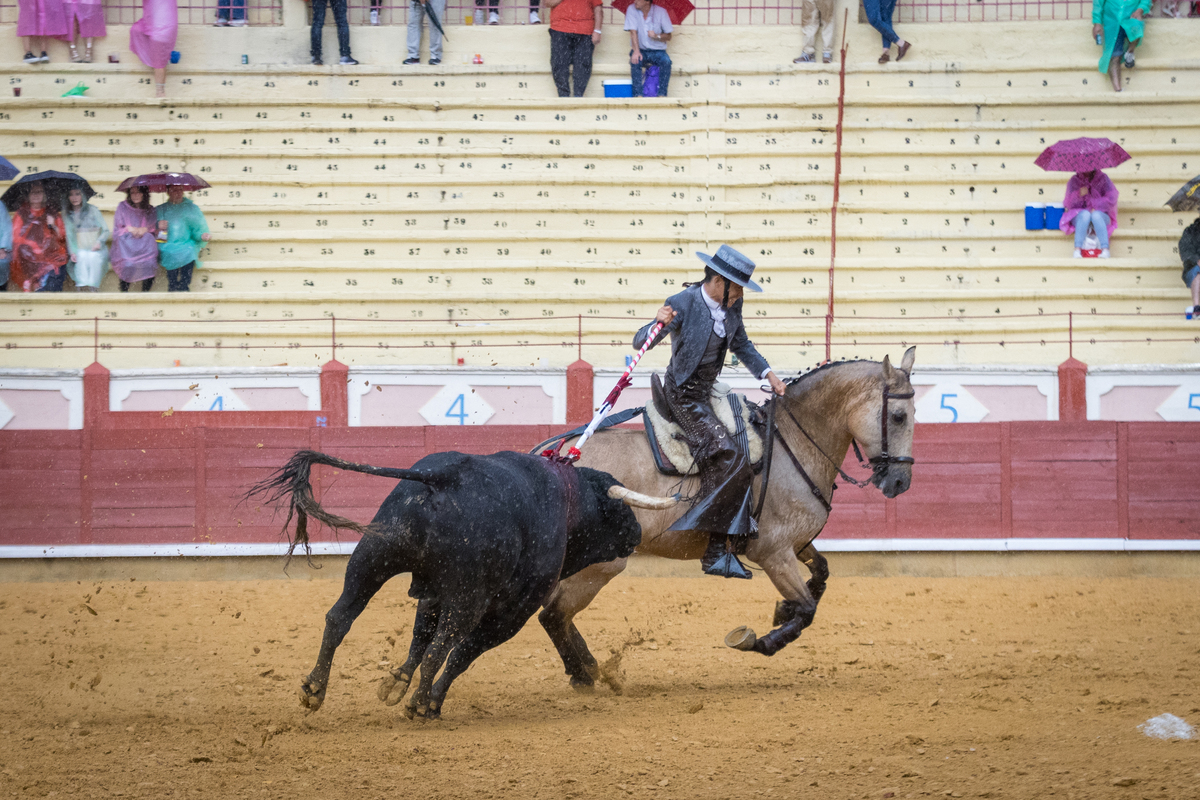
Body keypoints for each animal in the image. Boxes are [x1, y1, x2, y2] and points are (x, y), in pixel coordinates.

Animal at [248, 450, 643, 719]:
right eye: (620, 510)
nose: (638, 532)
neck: (568, 502)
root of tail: (443, 478)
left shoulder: (435, 592)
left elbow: (420, 637)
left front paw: (396, 682)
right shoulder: (512, 612)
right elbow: (460, 652)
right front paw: (430, 700)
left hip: (372, 558)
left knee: (339, 617)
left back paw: (314, 688)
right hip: (468, 597)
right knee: (443, 646)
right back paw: (421, 706)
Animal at [542, 347, 916, 690]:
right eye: (899, 416)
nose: (901, 482)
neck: (792, 443)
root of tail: (559, 459)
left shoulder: (795, 543)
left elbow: (822, 573)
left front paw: (783, 609)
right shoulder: (772, 552)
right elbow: (808, 609)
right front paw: (762, 640)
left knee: (553, 610)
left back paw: (588, 670)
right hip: (603, 564)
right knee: (554, 613)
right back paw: (584, 674)